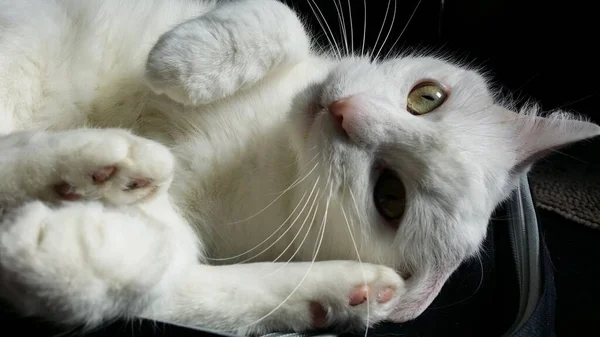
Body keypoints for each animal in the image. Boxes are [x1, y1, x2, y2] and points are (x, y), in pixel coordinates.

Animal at [0, 0, 596, 334]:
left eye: (390, 197)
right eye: (426, 97)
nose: (343, 111)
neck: (273, 146)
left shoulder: (195, 222)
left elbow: (165, 264)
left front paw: (75, 252)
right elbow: (285, 19)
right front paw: (187, 59)